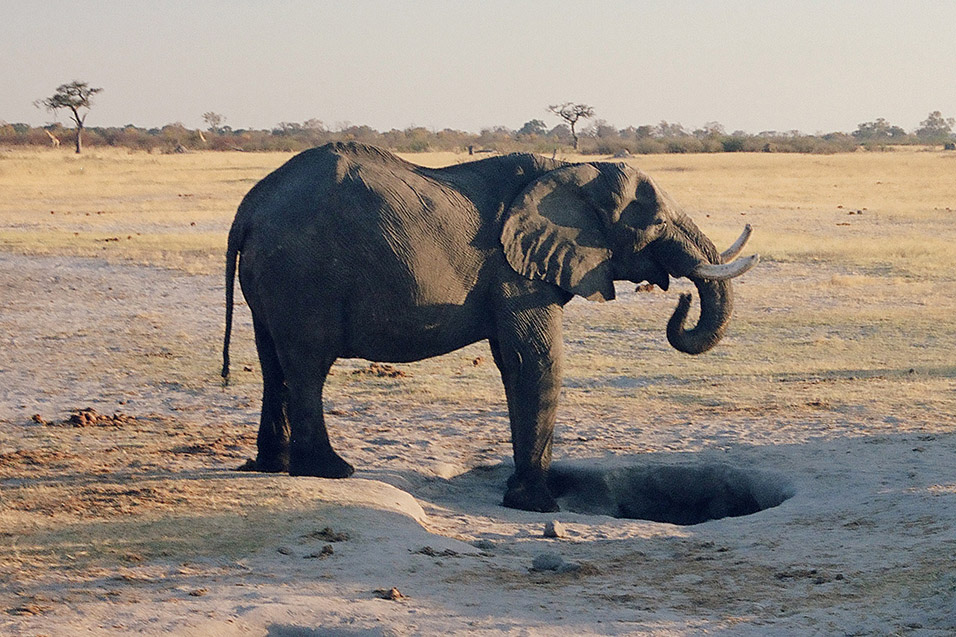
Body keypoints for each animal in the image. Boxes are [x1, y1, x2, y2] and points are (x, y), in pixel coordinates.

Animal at [220, 143, 760, 512]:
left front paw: (524, 493)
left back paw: (273, 465)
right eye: (655, 225)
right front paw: (537, 504)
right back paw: (331, 470)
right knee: (308, 366)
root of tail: (249, 206)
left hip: (272, 278)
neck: (568, 168)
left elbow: (512, 360)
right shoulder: (515, 271)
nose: (681, 297)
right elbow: (536, 358)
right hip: (302, 274)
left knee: (273, 363)